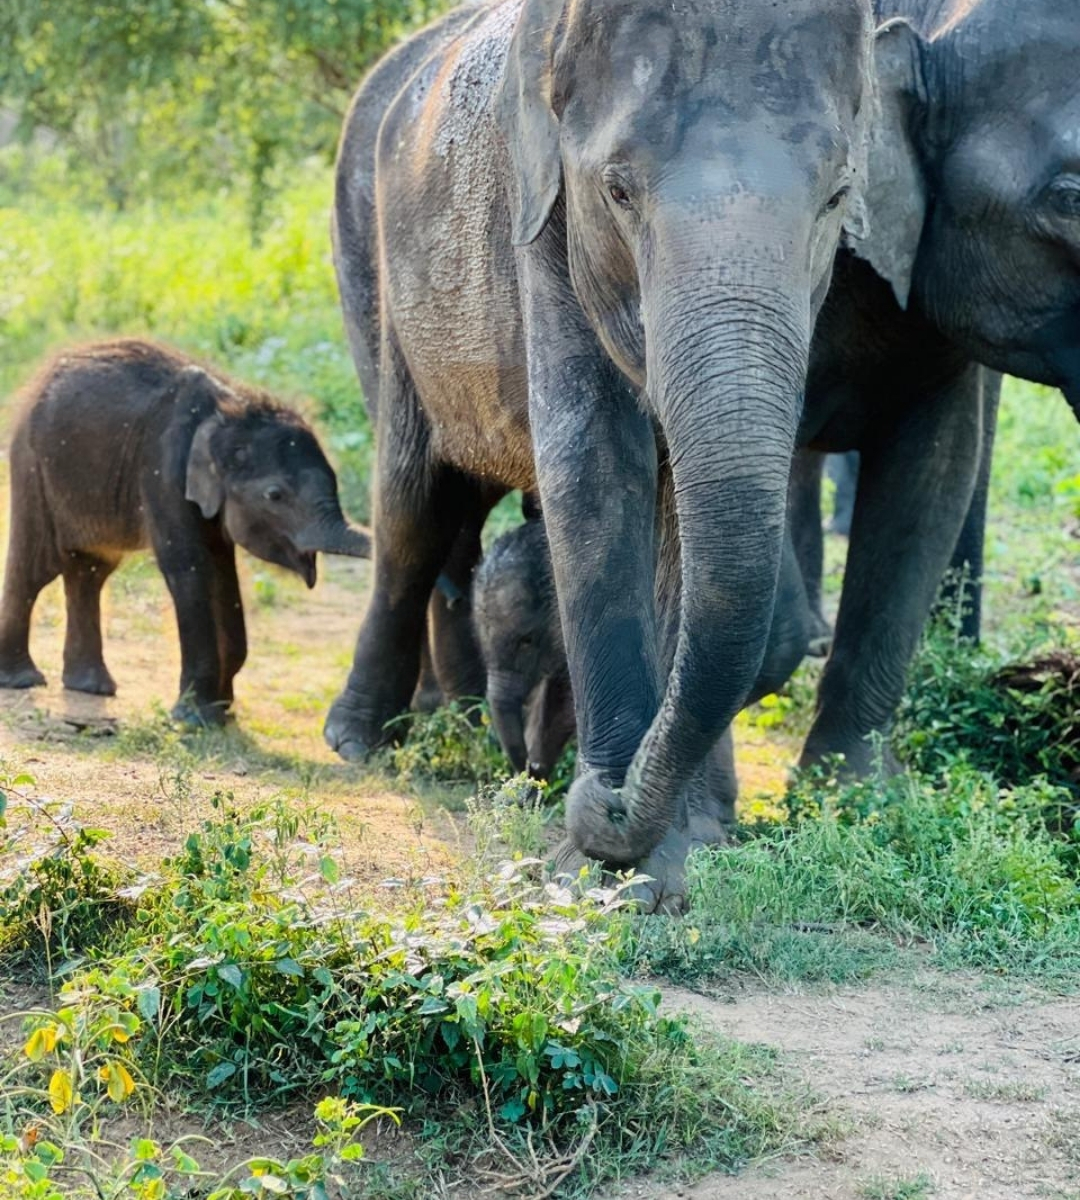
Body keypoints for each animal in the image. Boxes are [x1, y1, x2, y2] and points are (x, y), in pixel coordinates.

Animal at [0, 339, 371, 724]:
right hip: (32, 464)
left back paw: (92, 687)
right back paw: (22, 680)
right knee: (35, 570)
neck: (231, 409)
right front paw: (196, 719)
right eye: (275, 495)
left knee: (91, 571)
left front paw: (223, 712)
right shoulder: (164, 470)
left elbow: (223, 572)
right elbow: (189, 567)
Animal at [326, 0, 878, 904]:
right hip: (373, 280)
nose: (603, 799)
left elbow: (682, 517)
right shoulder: (542, 225)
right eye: (617, 191)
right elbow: (595, 467)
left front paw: (693, 843)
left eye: (837, 195)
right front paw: (610, 872)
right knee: (413, 506)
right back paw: (362, 741)